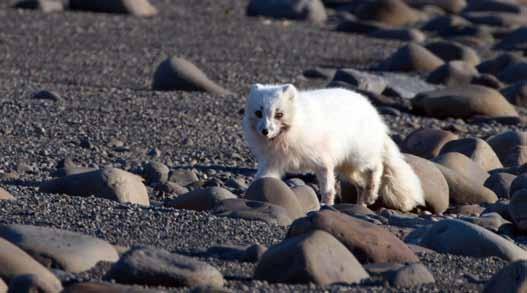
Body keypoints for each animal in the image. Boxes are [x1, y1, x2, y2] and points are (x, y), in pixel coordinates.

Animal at [241, 82, 426, 210]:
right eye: (258, 113)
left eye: (279, 114)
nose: (265, 131)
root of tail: (374, 114)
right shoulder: (272, 163)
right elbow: (260, 179)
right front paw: (249, 197)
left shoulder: (323, 162)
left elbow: (328, 188)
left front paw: (326, 206)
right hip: (347, 168)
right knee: (360, 184)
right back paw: (361, 205)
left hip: (359, 157)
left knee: (377, 166)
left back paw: (372, 194)